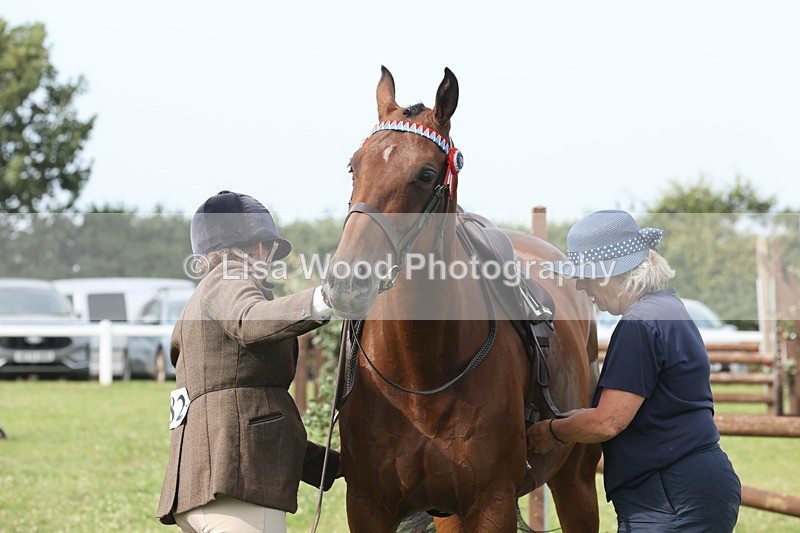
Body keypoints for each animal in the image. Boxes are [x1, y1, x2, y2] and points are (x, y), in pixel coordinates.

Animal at [324, 66, 601, 532]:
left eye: (424, 174)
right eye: (353, 166)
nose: (346, 282)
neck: (420, 379)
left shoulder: (492, 504)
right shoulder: (367, 505)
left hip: (575, 482)